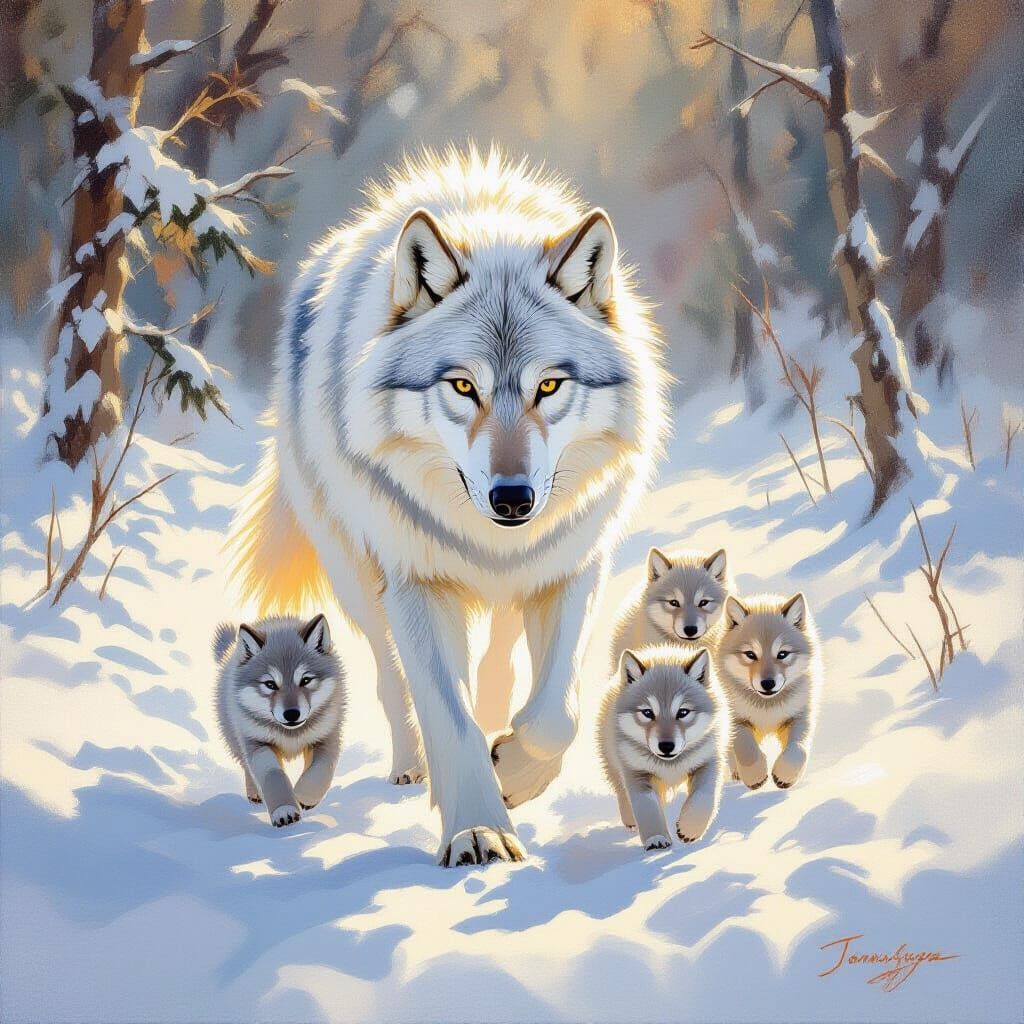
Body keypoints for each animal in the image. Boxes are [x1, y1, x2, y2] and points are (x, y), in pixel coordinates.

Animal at [214, 614, 346, 827]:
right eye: (270, 684)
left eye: (305, 680)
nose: (291, 714)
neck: (290, 735)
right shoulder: (258, 743)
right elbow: (273, 776)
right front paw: (285, 810)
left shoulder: (326, 737)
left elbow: (320, 770)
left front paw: (303, 797)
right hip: (235, 738)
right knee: (246, 765)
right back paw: (255, 793)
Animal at [230, 146, 668, 865]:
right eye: (463, 386)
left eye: (549, 386)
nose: (513, 498)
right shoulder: (417, 585)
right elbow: (445, 715)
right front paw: (477, 830)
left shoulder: (572, 566)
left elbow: (557, 714)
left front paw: (514, 769)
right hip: (358, 581)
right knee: (390, 679)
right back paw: (413, 764)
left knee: (500, 654)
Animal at [597, 646, 729, 850]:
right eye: (647, 713)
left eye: (683, 712)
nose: (666, 746)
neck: (669, 765)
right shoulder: (637, 773)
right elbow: (647, 808)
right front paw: (656, 839)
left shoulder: (708, 761)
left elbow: (703, 798)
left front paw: (689, 830)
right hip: (613, 763)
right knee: (621, 791)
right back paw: (630, 820)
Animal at [716, 593, 822, 790]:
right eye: (750, 654)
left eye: (782, 654)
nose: (767, 683)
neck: (767, 708)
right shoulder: (737, 721)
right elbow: (747, 752)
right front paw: (755, 777)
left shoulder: (799, 716)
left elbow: (798, 751)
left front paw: (784, 777)